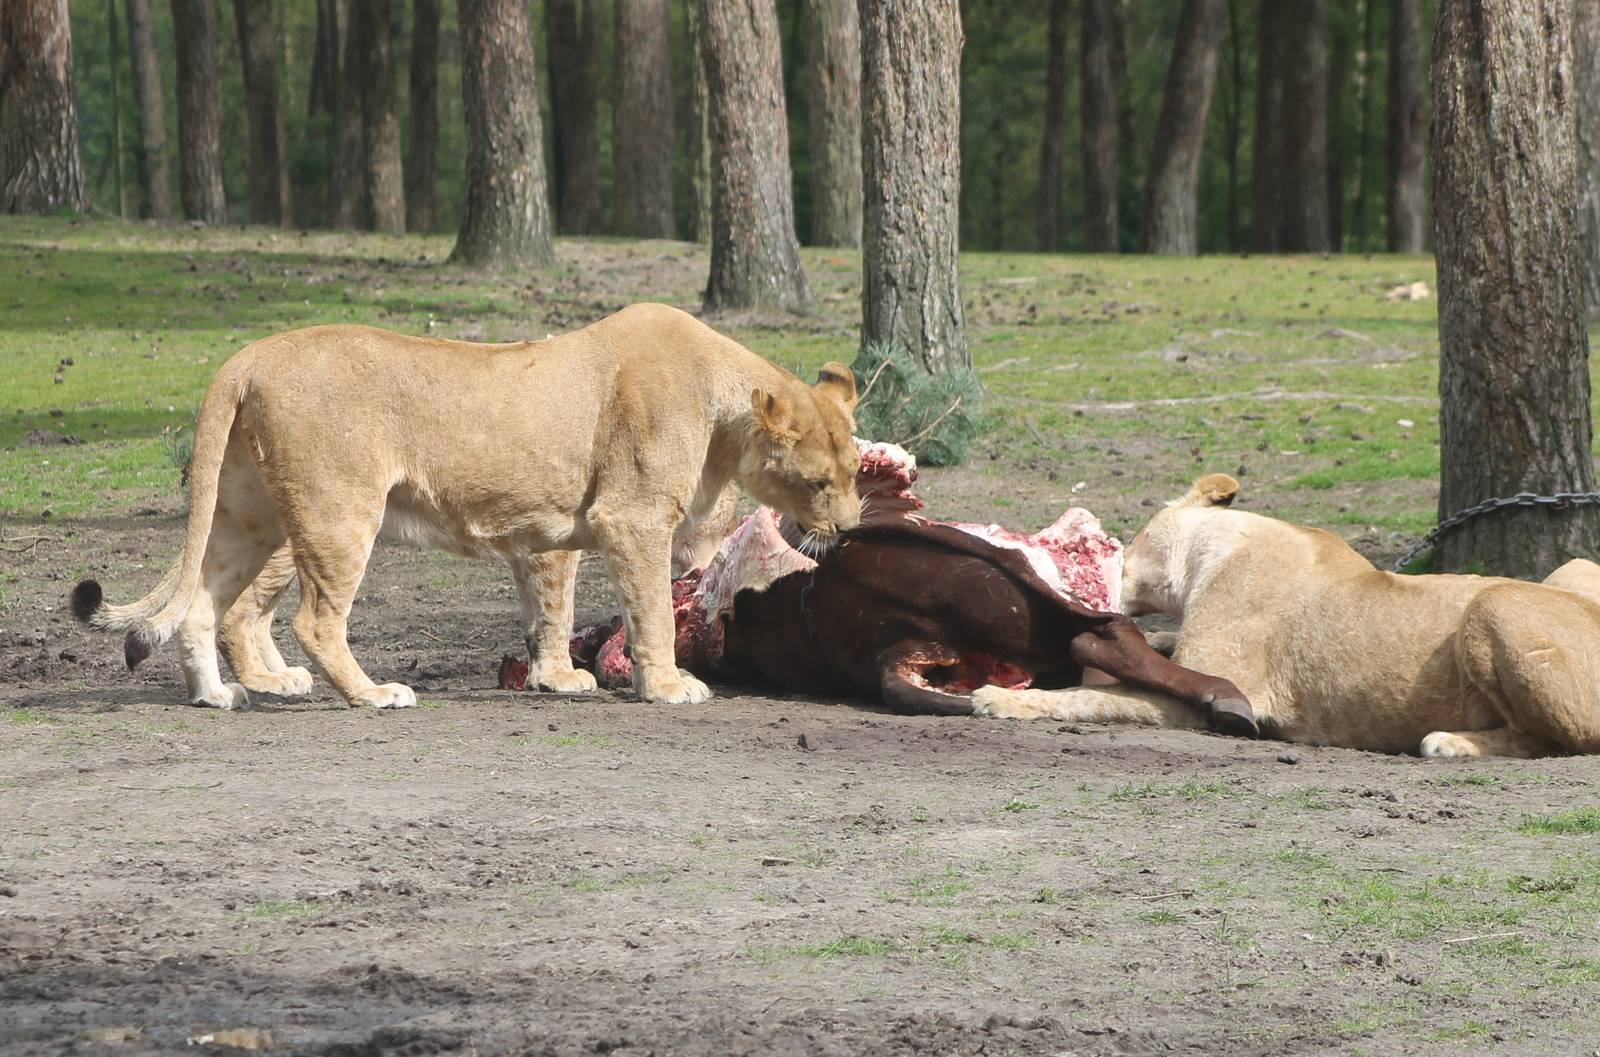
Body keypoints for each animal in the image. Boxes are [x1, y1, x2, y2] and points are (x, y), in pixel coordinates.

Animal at [71, 303, 861, 710]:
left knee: (204, 604)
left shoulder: (549, 528)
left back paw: (220, 695)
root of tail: (247, 356)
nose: (851, 528)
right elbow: (652, 615)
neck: (724, 415)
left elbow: (551, 611)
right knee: (311, 620)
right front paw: (666, 686)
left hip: (251, 513)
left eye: (856, 473)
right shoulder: (632, 519)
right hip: (337, 513)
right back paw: (370, 693)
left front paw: (554, 679)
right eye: (820, 483)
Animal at [975, 473, 1600, 758]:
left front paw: (1000, 698)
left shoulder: (1230, 695)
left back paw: (1451, 742)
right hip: (1572, 566)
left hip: (1496, 603)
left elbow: (1092, 698)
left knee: (1563, 739)